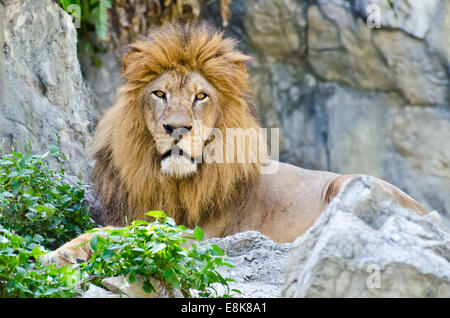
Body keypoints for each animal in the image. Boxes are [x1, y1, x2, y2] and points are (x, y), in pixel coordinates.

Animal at [43, 21, 428, 266]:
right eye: (159, 94)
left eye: (200, 96)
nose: (177, 128)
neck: (170, 181)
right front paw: (59, 251)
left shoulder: (197, 235)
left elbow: (119, 234)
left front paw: (62, 252)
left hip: (348, 183)